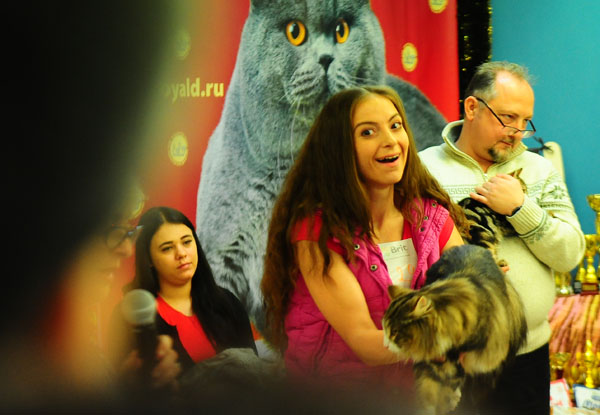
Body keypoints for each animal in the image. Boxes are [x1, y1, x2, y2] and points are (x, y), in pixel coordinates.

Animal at [382, 245, 527, 415]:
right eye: (384, 328)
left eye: (394, 332)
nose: (385, 345)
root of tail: (475, 246)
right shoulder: (430, 365)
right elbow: (427, 396)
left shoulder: (455, 366)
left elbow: (442, 397)